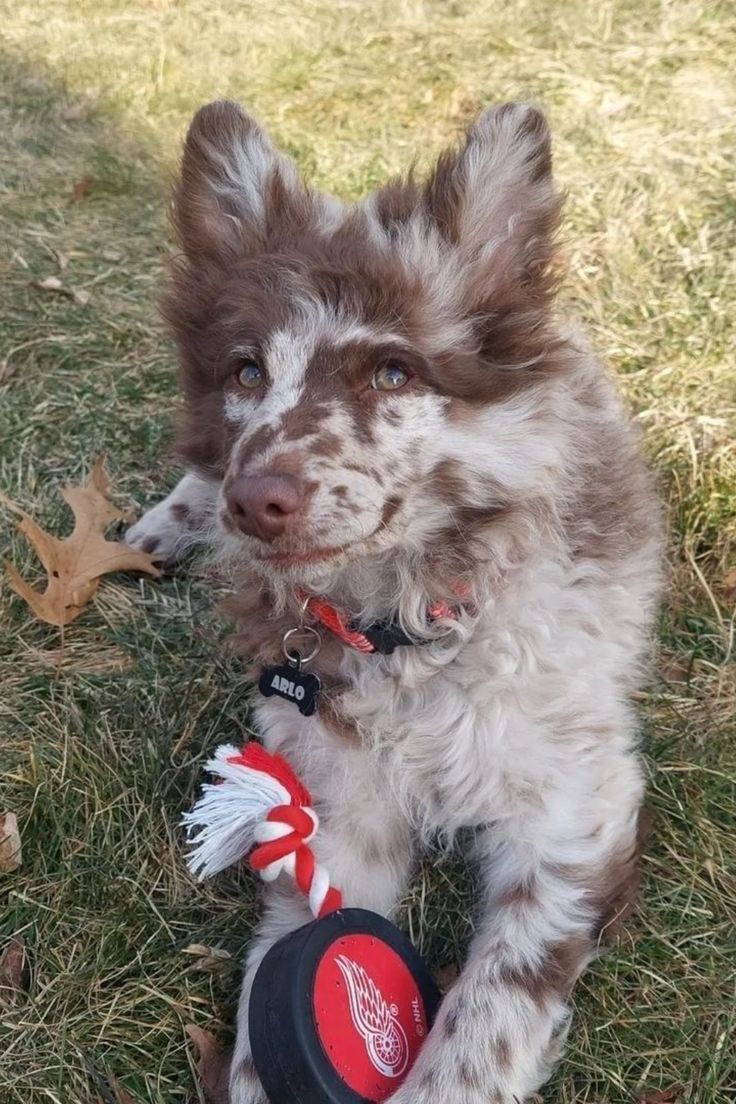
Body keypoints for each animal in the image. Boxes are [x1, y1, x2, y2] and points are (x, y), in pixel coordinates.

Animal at [129, 99, 666, 1099]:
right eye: (246, 372)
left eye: (393, 373)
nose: (255, 502)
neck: (408, 620)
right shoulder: (334, 806)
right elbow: (293, 955)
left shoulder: (573, 807)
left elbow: (488, 1013)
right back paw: (165, 525)